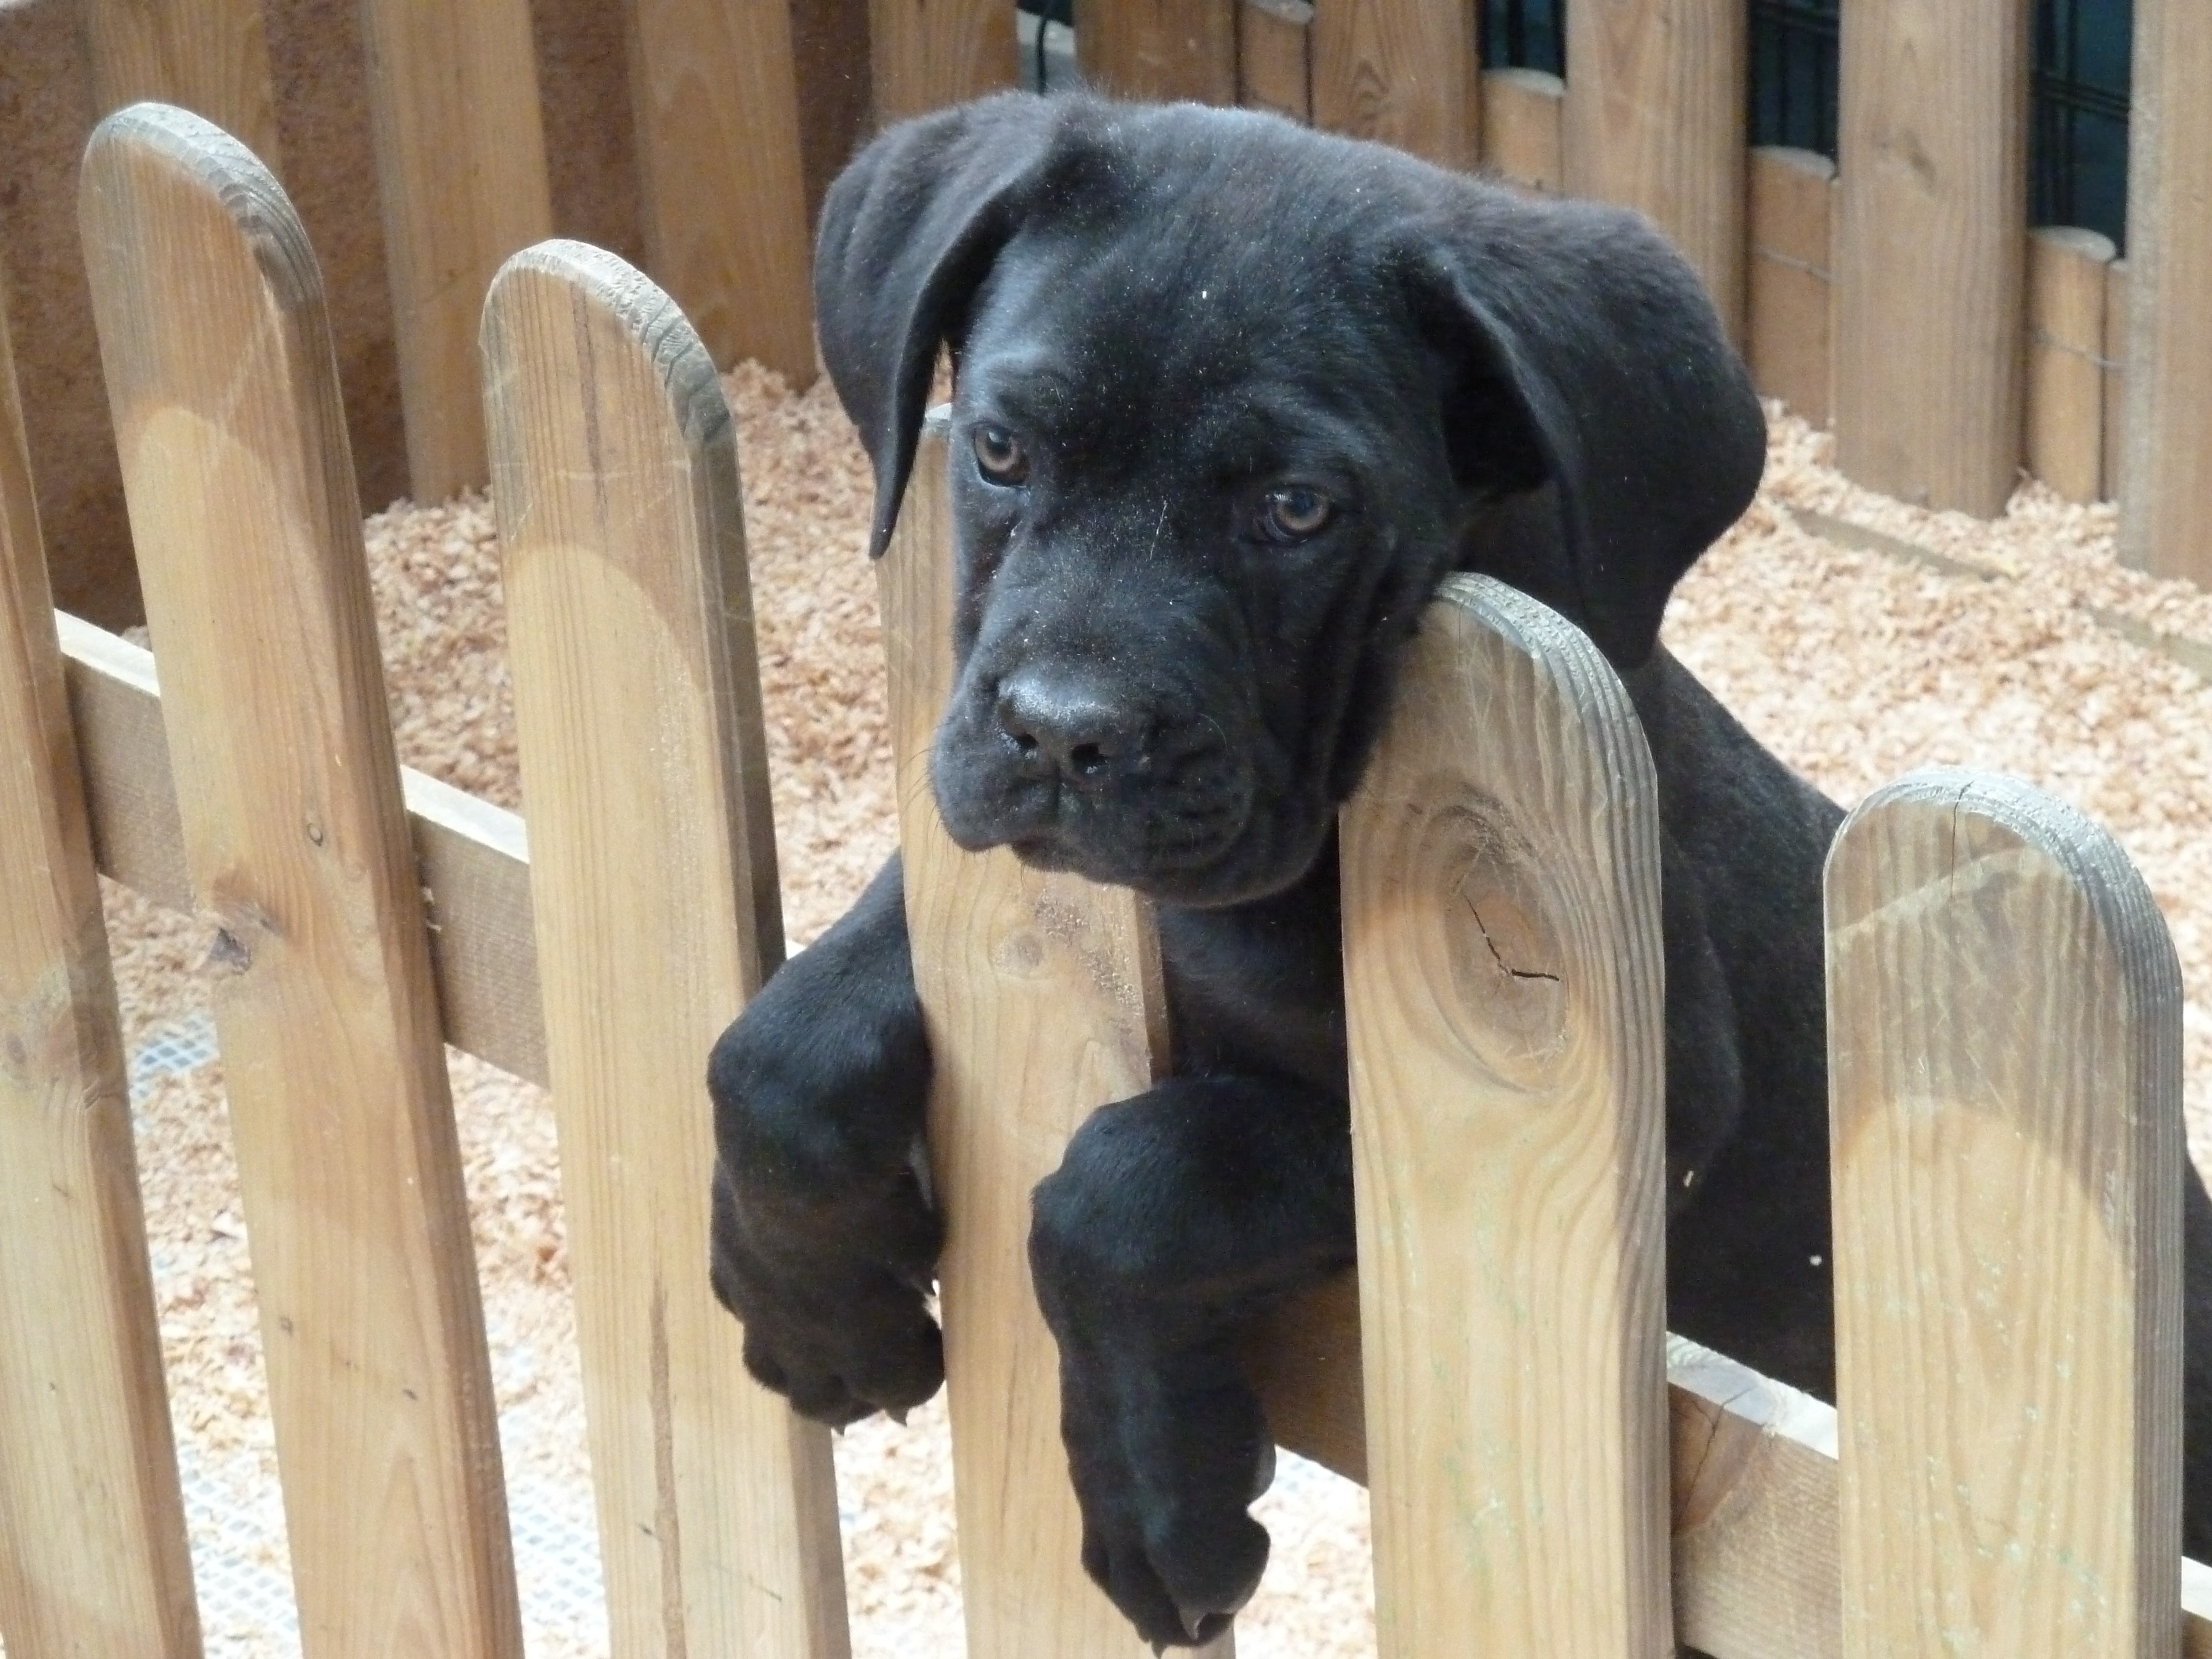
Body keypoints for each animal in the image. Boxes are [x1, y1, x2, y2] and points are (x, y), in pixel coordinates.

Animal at [712, 94, 2212, 1655]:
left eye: (1296, 509)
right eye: (1000, 448)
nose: (1065, 735)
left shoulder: (1622, 1111)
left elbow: (1134, 1181)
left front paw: (1158, 1503)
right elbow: (779, 1044)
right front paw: (813, 1309)